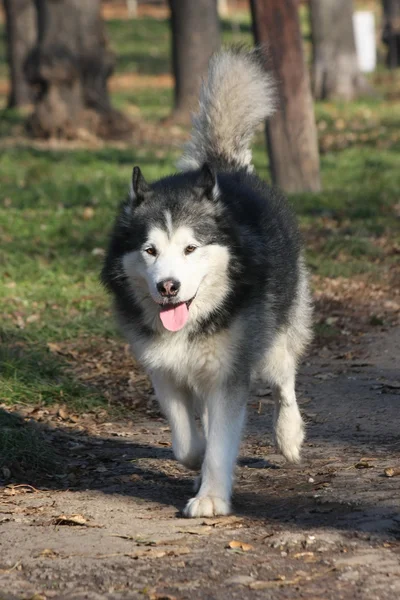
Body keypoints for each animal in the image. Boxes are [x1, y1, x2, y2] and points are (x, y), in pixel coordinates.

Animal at [101, 48, 312, 516]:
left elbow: (220, 441)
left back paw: (289, 435)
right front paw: (197, 464)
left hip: (273, 336)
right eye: (150, 250)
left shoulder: (229, 374)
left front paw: (211, 497)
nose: (168, 287)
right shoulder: (163, 370)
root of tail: (225, 167)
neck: (195, 320)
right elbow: (189, 441)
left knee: (284, 378)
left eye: (190, 249)